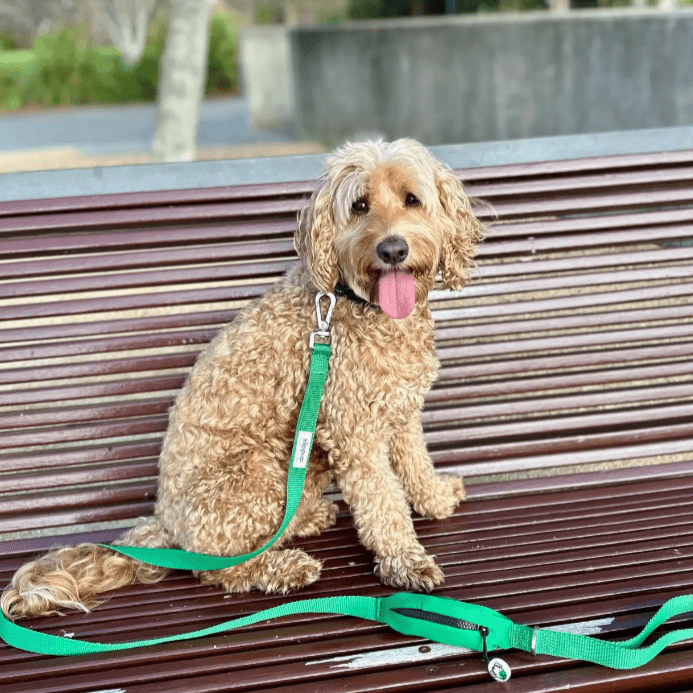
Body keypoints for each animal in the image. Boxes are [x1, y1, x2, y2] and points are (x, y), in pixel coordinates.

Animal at [1, 138, 482, 620]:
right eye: (359, 205)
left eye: (412, 199)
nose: (392, 249)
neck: (358, 305)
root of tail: (166, 525)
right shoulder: (354, 432)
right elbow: (382, 502)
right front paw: (406, 562)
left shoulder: (401, 412)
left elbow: (417, 466)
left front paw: (437, 500)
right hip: (259, 472)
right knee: (221, 567)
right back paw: (284, 567)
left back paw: (307, 519)